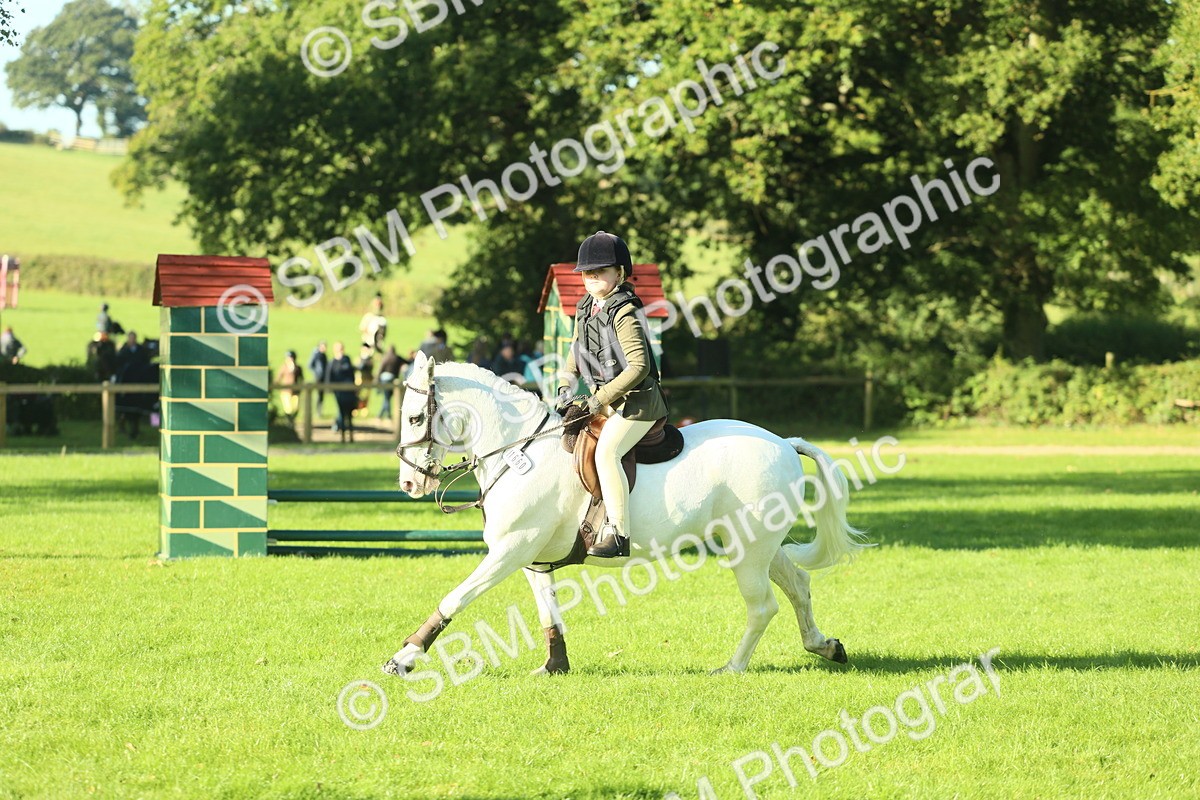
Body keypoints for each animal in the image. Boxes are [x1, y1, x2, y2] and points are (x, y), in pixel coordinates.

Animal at [383, 351, 869, 678]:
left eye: (415, 417)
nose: (408, 485)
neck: (519, 452)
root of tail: (784, 442)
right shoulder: (529, 555)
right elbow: (548, 612)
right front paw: (555, 666)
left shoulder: (511, 549)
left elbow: (456, 598)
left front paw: (403, 658)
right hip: (760, 544)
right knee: (798, 586)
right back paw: (826, 647)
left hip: (745, 548)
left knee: (763, 605)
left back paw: (732, 667)